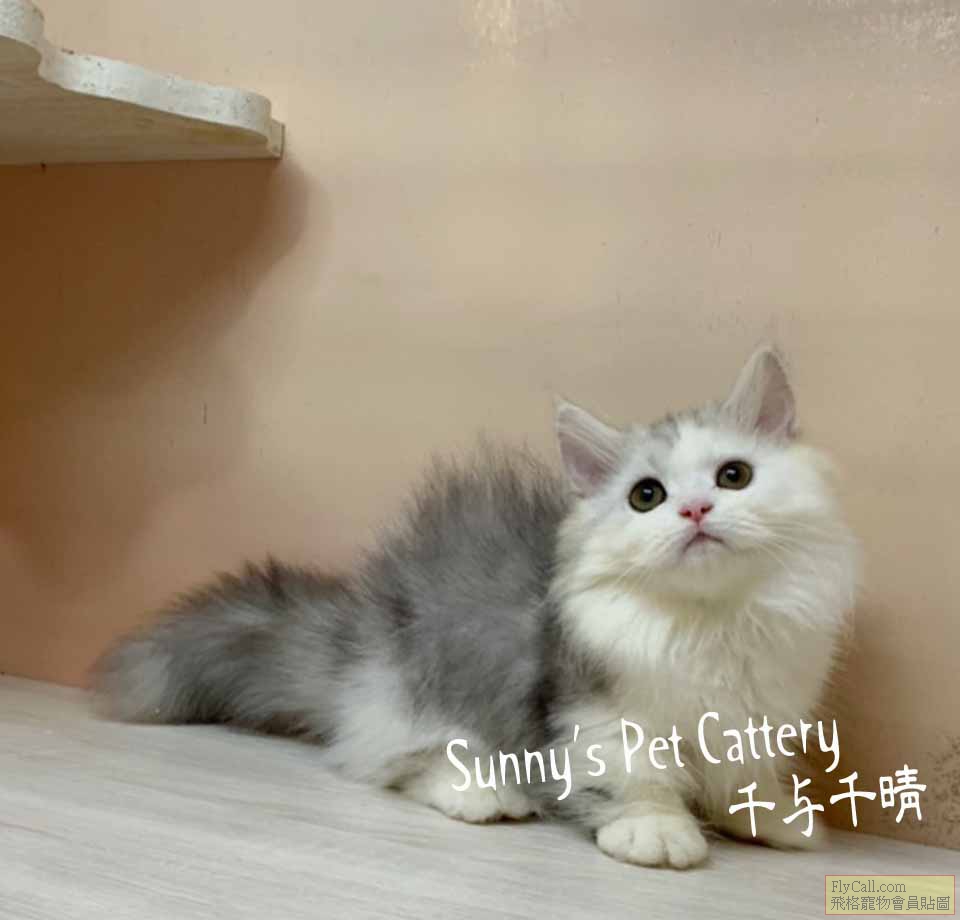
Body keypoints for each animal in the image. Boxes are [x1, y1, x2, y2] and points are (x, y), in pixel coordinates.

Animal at [95, 346, 859, 869]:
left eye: (734, 476)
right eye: (647, 495)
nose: (696, 510)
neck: (707, 623)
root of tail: (354, 638)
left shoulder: (752, 716)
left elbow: (743, 776)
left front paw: (771, 815)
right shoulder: (596, 713)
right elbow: (633, 778)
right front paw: (656, 829)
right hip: (415, 696)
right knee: (389, 761)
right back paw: (484, 794)